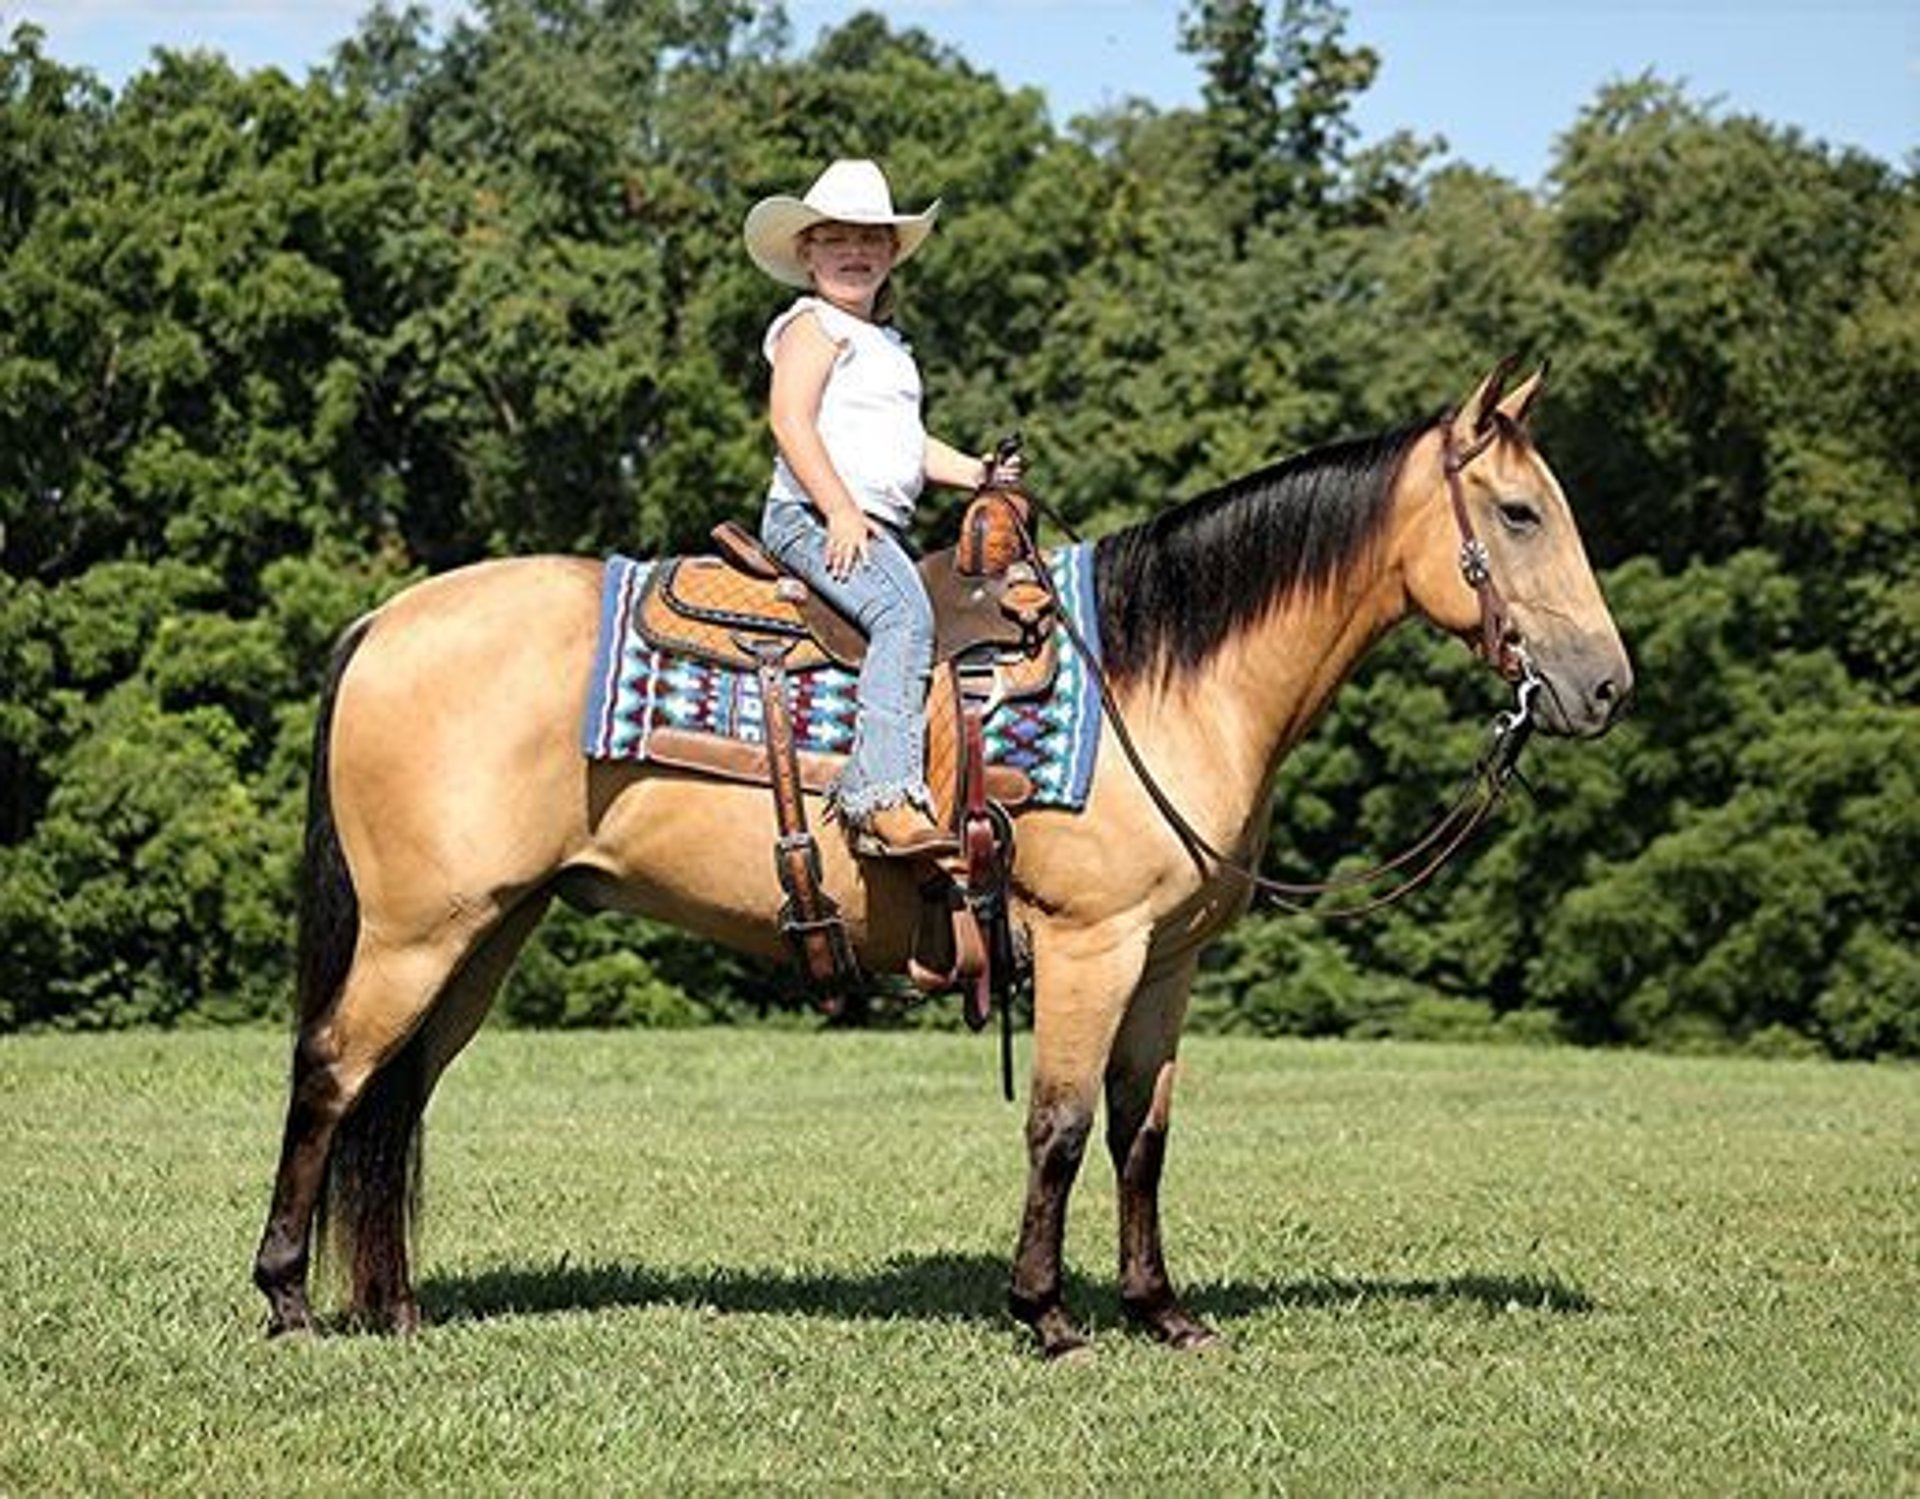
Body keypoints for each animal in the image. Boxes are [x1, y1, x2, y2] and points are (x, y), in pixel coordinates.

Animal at [252, 362, 1631, 1356]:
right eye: (1519, 512)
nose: (1606, 685)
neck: (1161, 675)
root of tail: (385, 619)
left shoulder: (1166, 963)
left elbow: (1142, 1135)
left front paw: (1162, 1310)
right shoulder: (1088, 944)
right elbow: (1061, 1125)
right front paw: (1049, 1314)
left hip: (489, 930)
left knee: (398, 1092)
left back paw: (395, 1305)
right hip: (419, 928)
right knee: (332, 1070)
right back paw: (290, 1299)